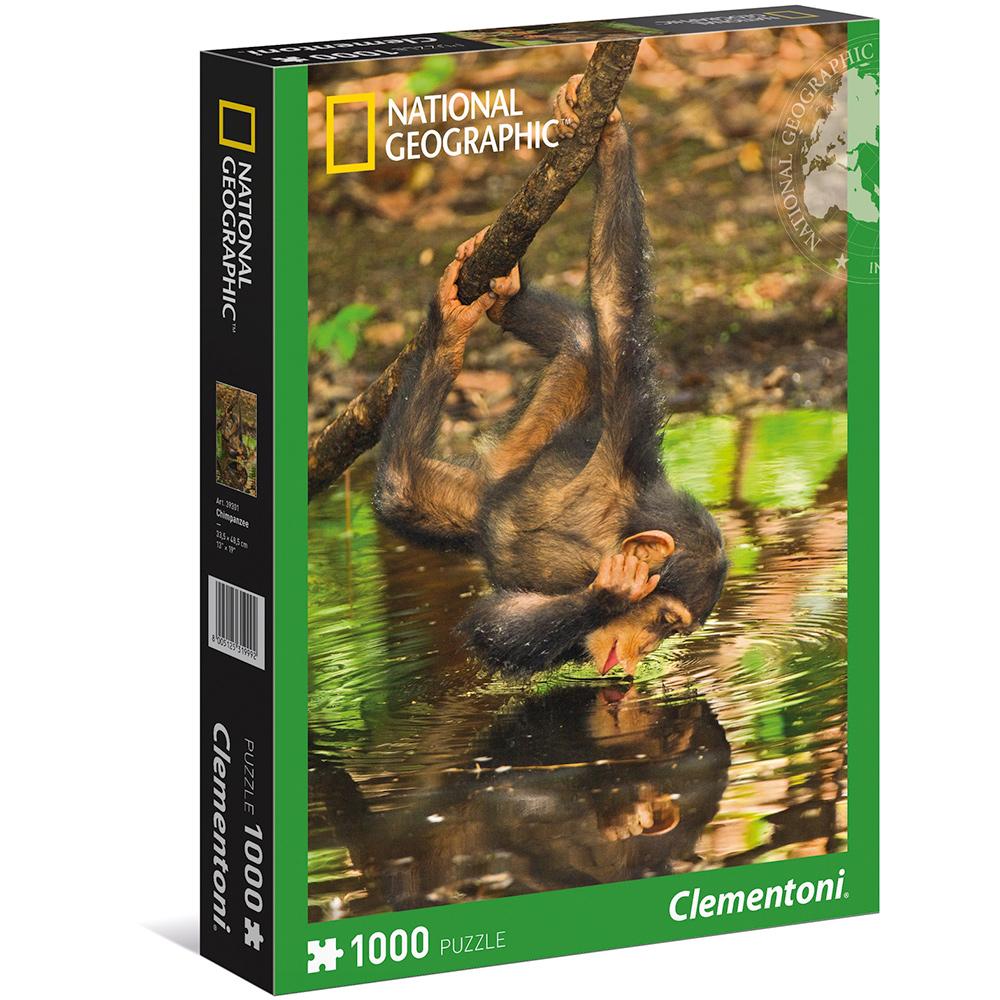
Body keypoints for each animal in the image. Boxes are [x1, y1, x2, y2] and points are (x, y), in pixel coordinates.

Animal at [373, 74, 729, 677]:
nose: (646, 650)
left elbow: (500, 623)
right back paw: (451, 324)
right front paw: (611, 137)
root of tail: (496, 479)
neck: (603, 535)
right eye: (664, 621)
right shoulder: (626, 432)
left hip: (485, 479)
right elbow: (615, 302)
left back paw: (496, 304)